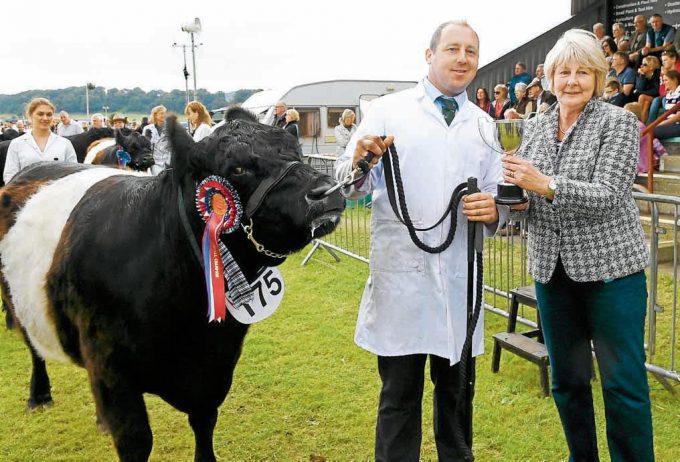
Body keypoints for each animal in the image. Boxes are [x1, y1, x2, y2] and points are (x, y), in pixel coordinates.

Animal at [0, 106, 342, 460]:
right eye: (238, 168)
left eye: (295, 151)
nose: (327, 190)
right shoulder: (111, 368)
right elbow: (137, 440)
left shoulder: (214, 367)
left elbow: (204, 422)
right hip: (19, 303)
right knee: (34, 348)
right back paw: (39, 396)